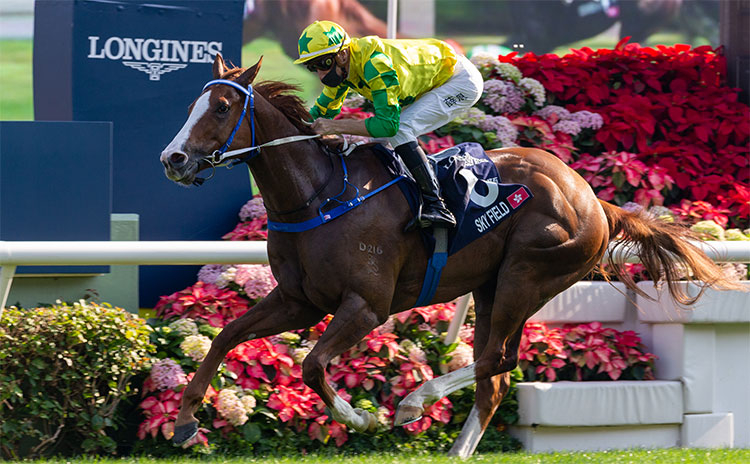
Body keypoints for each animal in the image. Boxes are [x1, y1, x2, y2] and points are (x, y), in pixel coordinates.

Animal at [160, 52, 748, 454]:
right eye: (190, 106)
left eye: (221, 107)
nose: (173, 159)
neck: (321, 193)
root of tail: (592, 198)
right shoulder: (298, 300)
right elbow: (227, 336)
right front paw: (187, 419)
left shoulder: (366, 307)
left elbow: (311, 366)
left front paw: (363, 418)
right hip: (491, 288)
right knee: (495, 381)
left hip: (527, 275)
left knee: (498, 360)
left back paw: (413, 402)